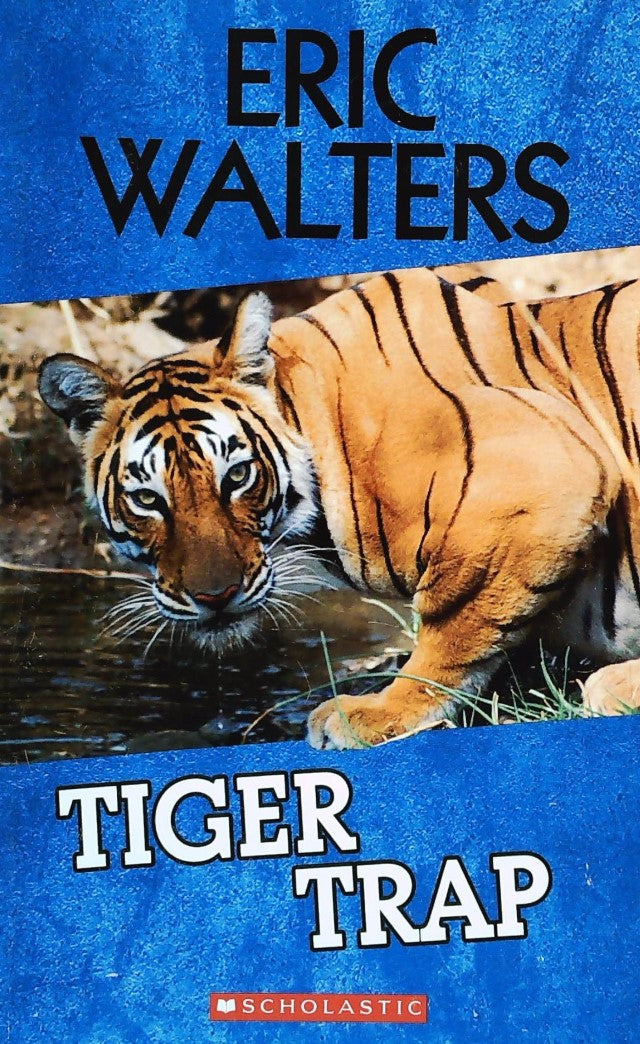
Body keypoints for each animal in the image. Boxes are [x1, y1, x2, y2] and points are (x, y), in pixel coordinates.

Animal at [38, 267, 640, 749]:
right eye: (148, 499)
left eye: (237, 477)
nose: (215, 598)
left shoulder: (546, 468)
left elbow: (453, 618)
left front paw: (378, 711)